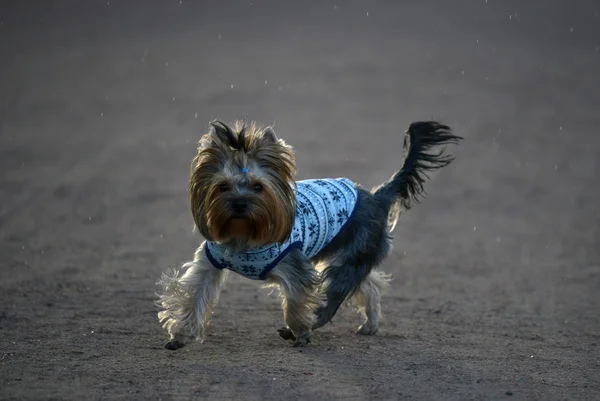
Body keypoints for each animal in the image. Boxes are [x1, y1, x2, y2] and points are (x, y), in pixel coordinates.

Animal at [155, 117, 460, 348]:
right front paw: (180, 335)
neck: (244, 234)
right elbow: (194, 293)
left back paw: (311, 325)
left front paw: (300, 332)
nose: (239, 203)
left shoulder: (295, 265)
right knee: (369, 284)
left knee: (334, 296)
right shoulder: (209, 264)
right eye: (222, 187)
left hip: (353, 254)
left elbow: (296, 301)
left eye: (258, 187)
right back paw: (370, 324)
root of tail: (377, 197)